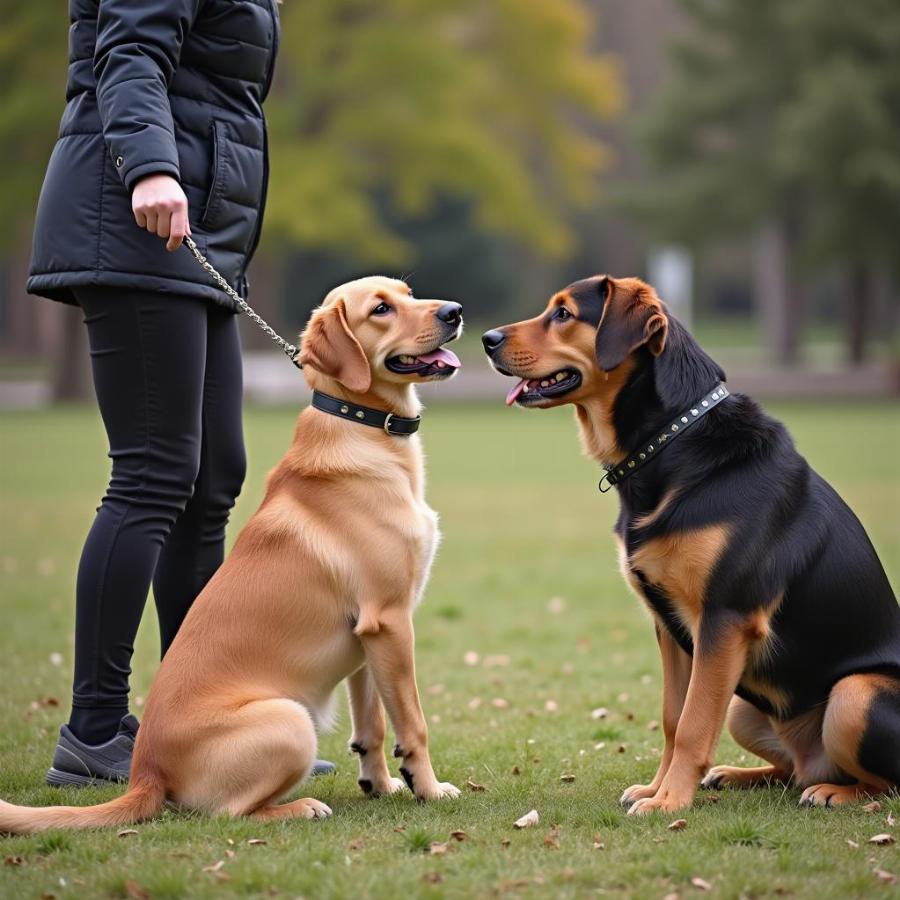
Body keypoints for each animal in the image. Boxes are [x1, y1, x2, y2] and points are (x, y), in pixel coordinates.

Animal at [486, 276, 900, 816]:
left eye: (564, 314)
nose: (486, 338)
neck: (670, 441)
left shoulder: (726, 618)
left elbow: (694, 724)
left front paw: (669, 802)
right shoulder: (671, 625)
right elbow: (672, 719)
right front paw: (656, 789)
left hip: (855, 694)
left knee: (880, 783)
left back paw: (836, 792)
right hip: (745, 709)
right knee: (792, 770)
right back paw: (738, 775)